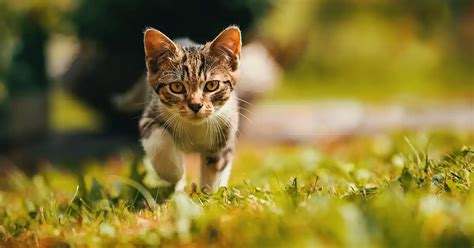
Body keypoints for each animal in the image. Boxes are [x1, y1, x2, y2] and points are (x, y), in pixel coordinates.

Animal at [138, 26, 241, 192]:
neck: (194, 128)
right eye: (176, 87)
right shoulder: (150, 114)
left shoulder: (227, 125)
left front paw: (210, 193)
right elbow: (159, 140)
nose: (195, 105)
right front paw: (174, 173)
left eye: (212, 85)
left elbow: (217, 164)